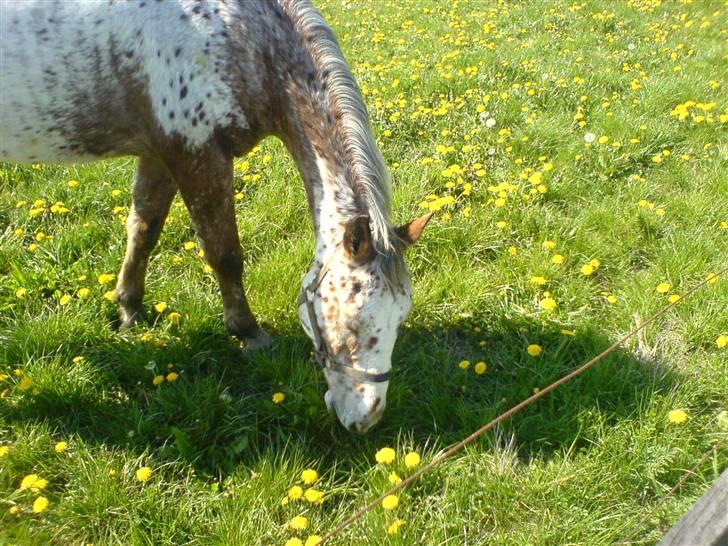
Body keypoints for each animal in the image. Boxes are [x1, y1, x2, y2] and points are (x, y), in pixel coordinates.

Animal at [1, 1, 432, 434]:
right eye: (353, 320)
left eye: (401, 317)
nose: (366, 418)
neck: (235, 35)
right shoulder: (197, 156)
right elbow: (225, 255)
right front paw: (249, 333)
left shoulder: (158, 153)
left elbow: (144, 230)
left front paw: (129, 310)